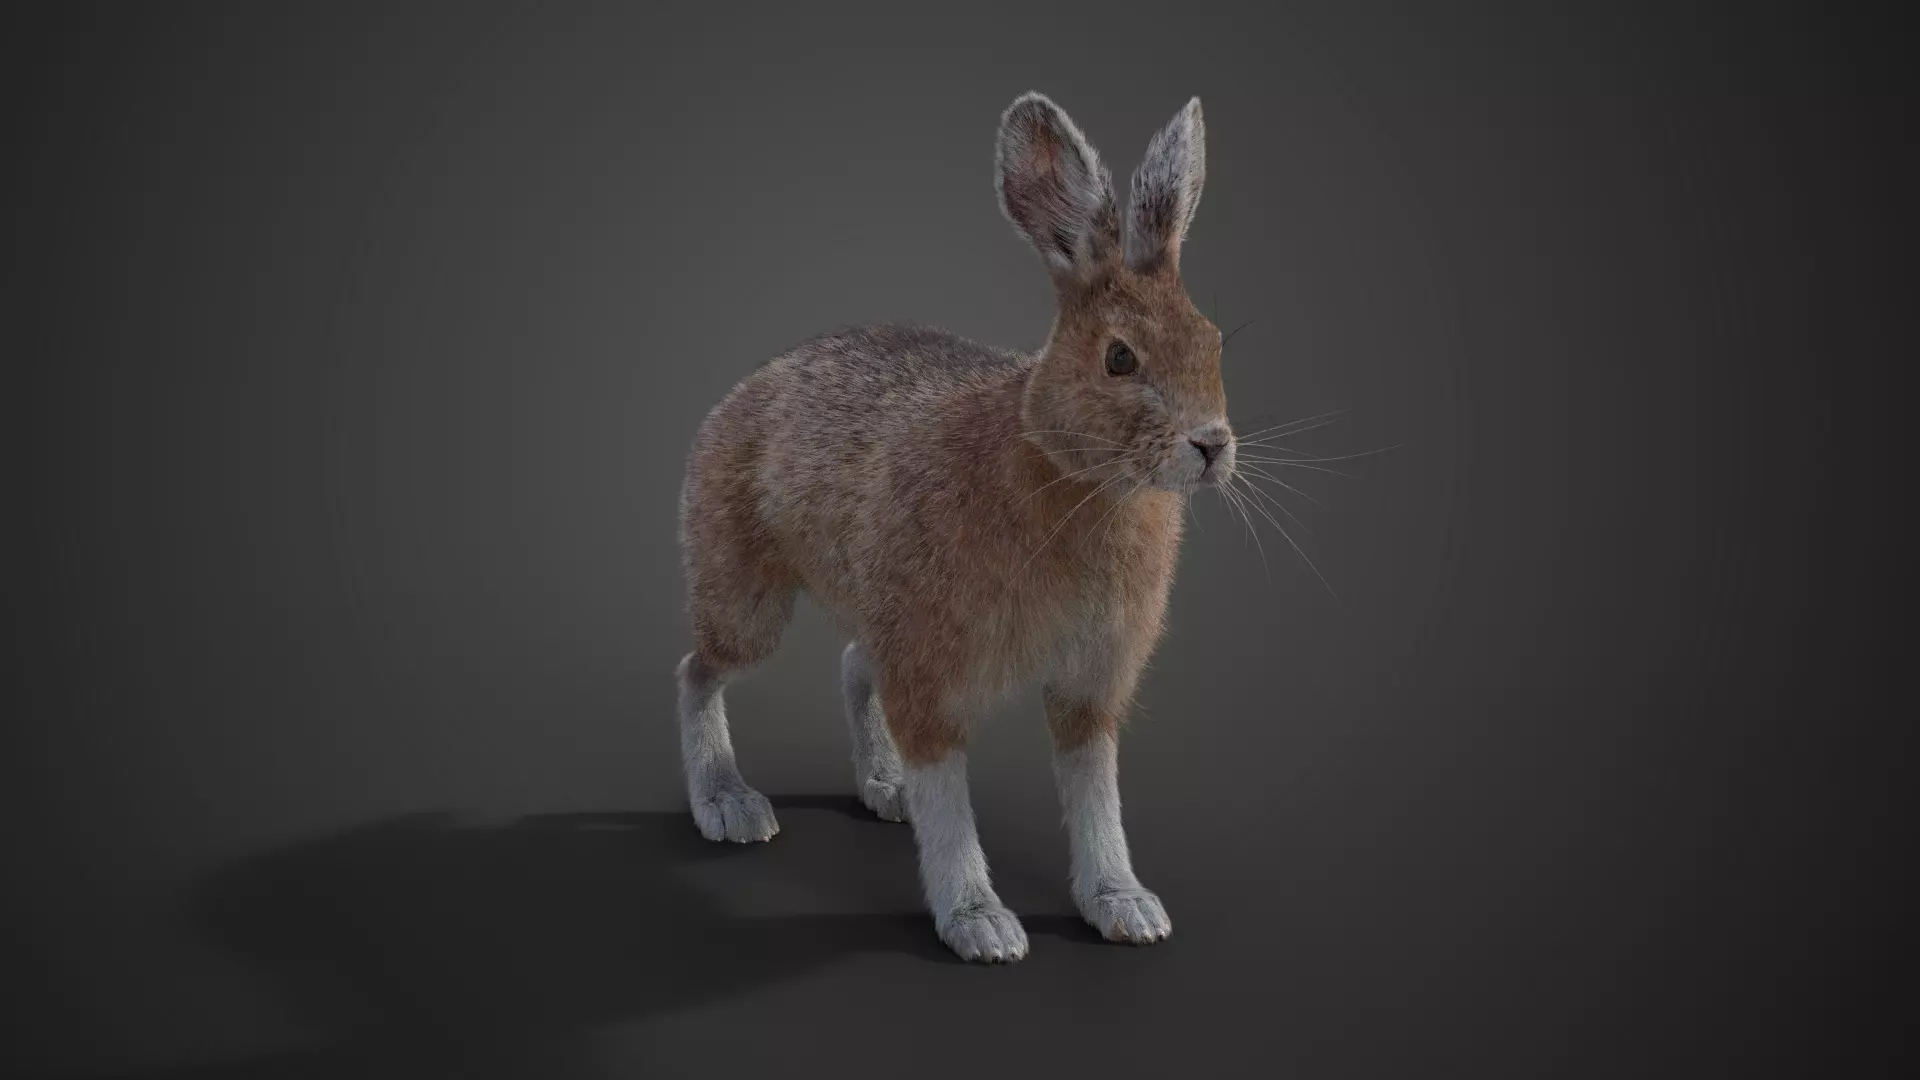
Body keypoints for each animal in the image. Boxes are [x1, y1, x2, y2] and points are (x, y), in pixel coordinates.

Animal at [675, 91, 1233, 964]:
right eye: (1119, 358)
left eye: (1214, 341)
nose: (1212, 445)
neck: (1070, 473)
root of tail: (736, 398)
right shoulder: (933, 676)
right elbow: (948, 802)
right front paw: (980, 925)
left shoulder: (1090, 683)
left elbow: (1095, 793)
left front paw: (1125, 906)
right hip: (749, 598)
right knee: (700, 671)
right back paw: (729, 804)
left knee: (849, 664)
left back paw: (883, 786)